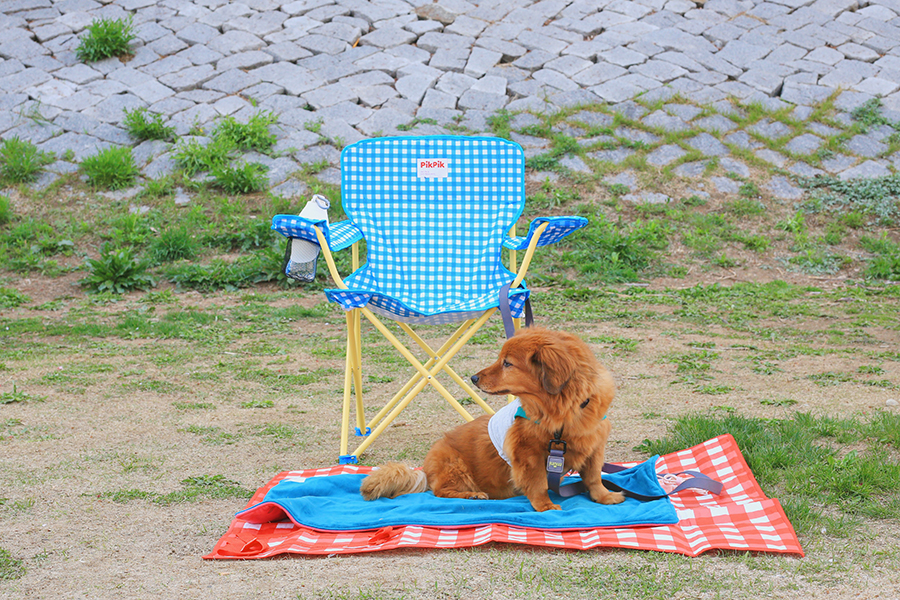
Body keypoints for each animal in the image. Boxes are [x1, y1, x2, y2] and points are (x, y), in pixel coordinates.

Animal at [360, 328, 624, 510]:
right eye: (500, 359)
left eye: (507, 363)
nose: (473, 378)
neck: (564, 413)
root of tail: (425, 471)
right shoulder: (528, 455)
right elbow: (539, 484)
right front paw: (545, 506)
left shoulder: (594, 447)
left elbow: (593, 477)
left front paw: (605, 497)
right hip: (455, 466)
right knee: (440, 491)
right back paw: (472, 494)